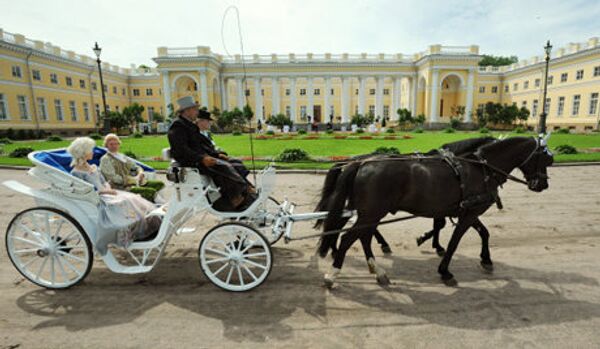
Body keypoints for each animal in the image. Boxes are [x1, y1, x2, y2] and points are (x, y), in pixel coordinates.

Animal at [314, 136, 496, 258]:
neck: (455, 166)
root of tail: (353, 161)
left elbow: (440, 224)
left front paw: (433, 243)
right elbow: (440, 224)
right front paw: (429, 241)